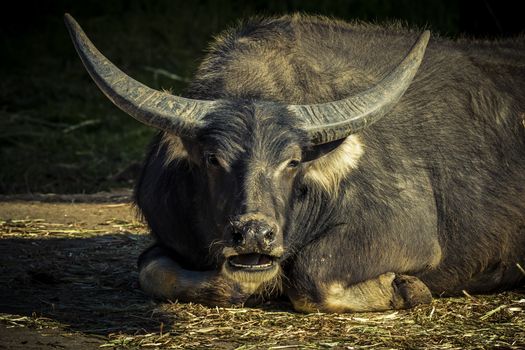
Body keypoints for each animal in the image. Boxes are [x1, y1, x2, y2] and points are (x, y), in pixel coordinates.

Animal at [65, 13, 524, 312]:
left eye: (291, 162)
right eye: (213, 159)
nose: (254, 234)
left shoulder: (408, 233)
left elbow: (312, 275)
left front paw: (407, 289)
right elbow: (153, 271)